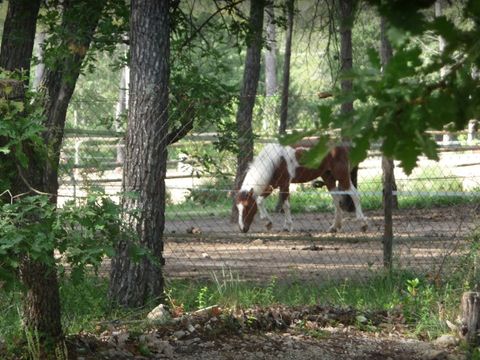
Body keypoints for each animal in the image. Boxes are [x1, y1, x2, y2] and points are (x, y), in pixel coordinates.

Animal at [235, 143, 368, 233]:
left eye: (247, 207)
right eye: (238, 208)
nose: (242, 229)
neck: (274, 161)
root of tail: (341, 146)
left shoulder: (284, 184)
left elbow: (285, 205)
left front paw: (288, 226)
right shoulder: (271, 185)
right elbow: (260, 200)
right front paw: (268, 223)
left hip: (342, 176)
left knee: (354, 194)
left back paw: (363, 224)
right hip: (328, 177)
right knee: (336, 200)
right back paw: (335, 226)